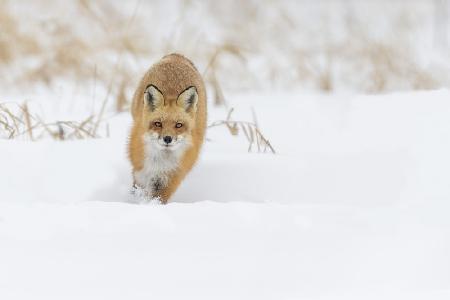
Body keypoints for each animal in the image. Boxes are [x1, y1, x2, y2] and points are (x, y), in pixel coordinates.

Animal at [128, 53, 207, 204]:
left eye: (179, 125)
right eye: (158, 124)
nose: (167, 139)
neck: (161, 161)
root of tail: (177, 55)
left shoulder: (171, 177)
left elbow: (159, 198)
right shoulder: (141, 170)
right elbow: (138, 189)